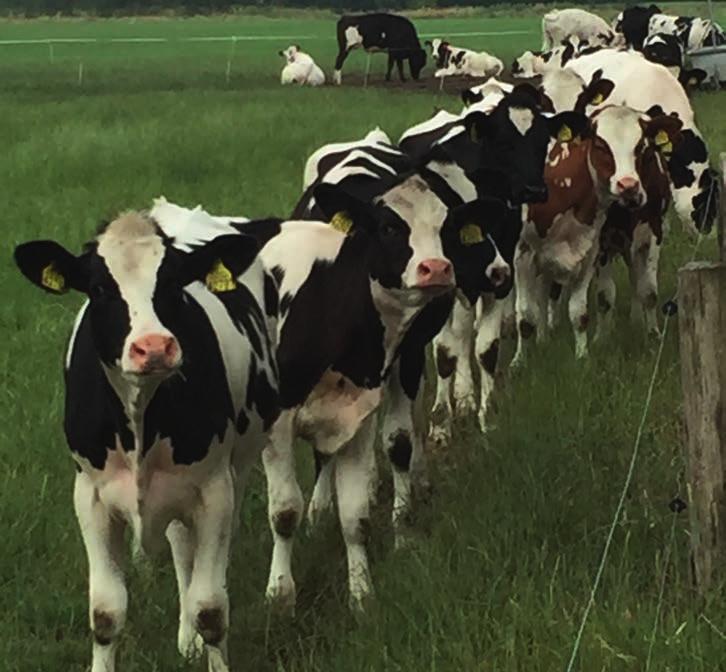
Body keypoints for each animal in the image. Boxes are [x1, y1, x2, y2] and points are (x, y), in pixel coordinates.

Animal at [14, 210, 282, 672]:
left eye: (173, 283)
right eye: (100, 288)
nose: (153, 347)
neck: (141, 419)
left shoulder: (214, 489)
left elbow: (211, 608)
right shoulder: (90, 495)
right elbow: (106, 612)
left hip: (239, 462)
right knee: (181, 548)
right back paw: (186, 638)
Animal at [516, 103, 684, 360]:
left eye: (642, 147)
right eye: (601, 145)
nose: (628, 186)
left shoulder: (650, 236)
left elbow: (648, 292)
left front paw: (653, 335)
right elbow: (603, 297)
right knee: (542, 293)